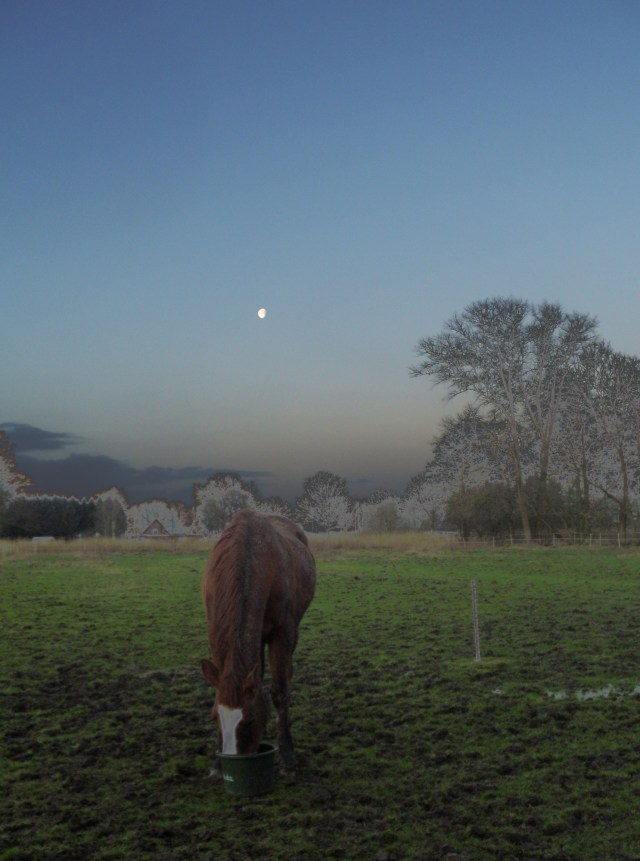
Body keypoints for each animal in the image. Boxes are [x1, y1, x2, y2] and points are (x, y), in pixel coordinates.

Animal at [201, 508, 316, 772]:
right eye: (214, 717)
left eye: (250, 719)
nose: (232, 760)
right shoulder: (216, 634)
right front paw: (216, 763)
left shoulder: (282, 632)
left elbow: (280, 692)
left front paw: (287, 756)